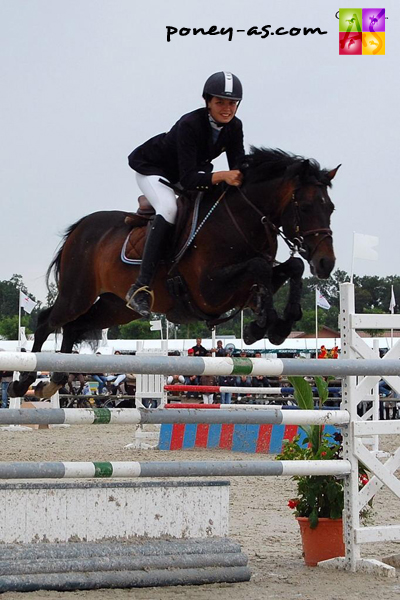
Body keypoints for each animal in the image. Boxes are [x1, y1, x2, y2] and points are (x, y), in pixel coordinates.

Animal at [9, 147, 340, 398]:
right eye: (306, 206)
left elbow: (292, 267)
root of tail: (80, 228)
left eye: (331, 208)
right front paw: (263, 323)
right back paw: (23, 383)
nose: (326, 263)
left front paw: (275, 324)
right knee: (47, 321)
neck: (241, 222)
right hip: (77, 294)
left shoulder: (240, 288)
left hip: (116, 308)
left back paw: (54, 380)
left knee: (74, 327)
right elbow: (259, 268)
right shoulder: (209, 291)